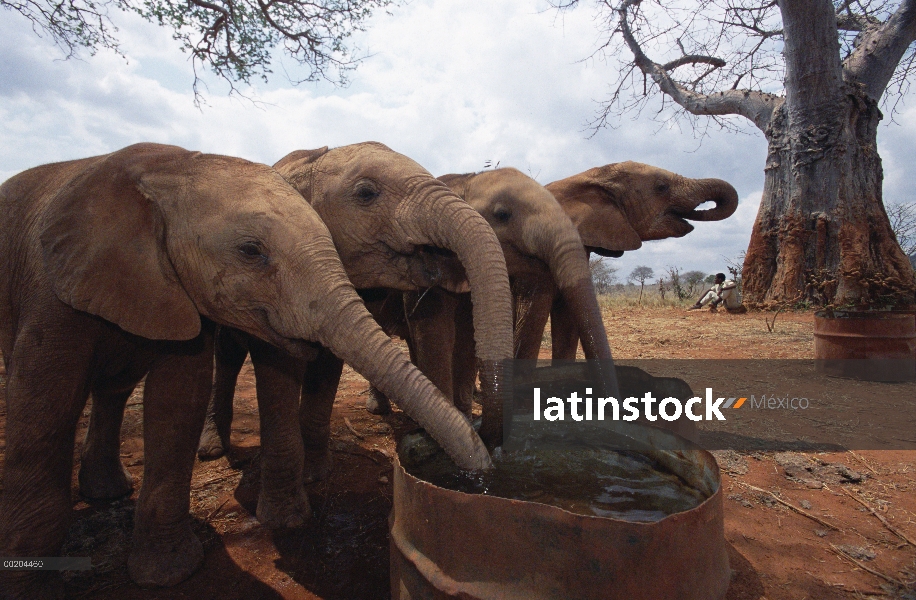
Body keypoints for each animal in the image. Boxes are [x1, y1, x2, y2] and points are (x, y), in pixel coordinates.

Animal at [0, 144, 494, 600]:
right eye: (367, 193)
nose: (485, 472)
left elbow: (199, 394)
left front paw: (316, 477)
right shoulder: (50, 294)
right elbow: (45, 401)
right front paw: (284, 519)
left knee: (117, 389)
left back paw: (108, 490)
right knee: (220, 362)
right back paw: (208, 453)